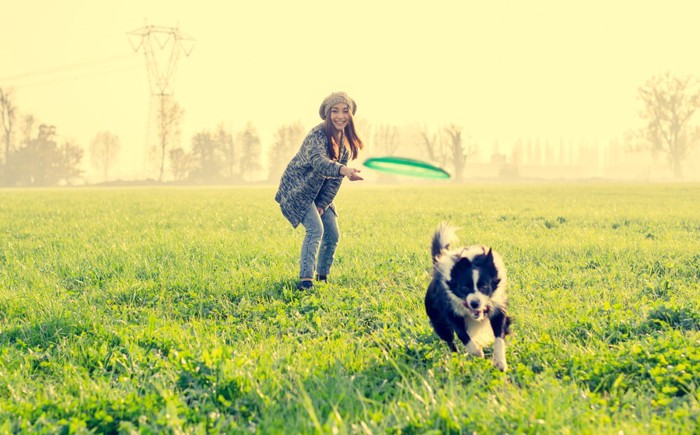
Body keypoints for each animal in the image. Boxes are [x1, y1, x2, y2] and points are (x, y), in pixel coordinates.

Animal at [424, 225, 512, 372]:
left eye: (484, 287)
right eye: (464, 288)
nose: (475, 303)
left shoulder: (497, 307)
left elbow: (499, 336)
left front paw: (500, 361)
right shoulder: (449, 311)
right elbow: (462, 333)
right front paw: (476, 351)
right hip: (438, 320)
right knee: (450, 340)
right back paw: (457, 359)